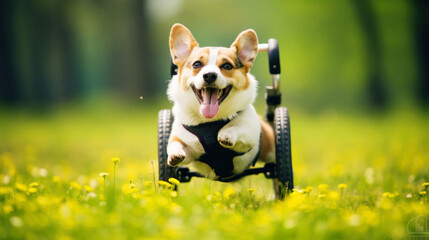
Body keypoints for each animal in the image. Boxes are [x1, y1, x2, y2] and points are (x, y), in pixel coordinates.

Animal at [166, 23, 272, 179]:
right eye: (196, 64)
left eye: (227, 66)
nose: (209, 75)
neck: (209, 121)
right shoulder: (189, 148)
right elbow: (174, 144)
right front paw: (175, 153)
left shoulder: (250, 137)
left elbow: (237, 126)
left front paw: (225, 134)